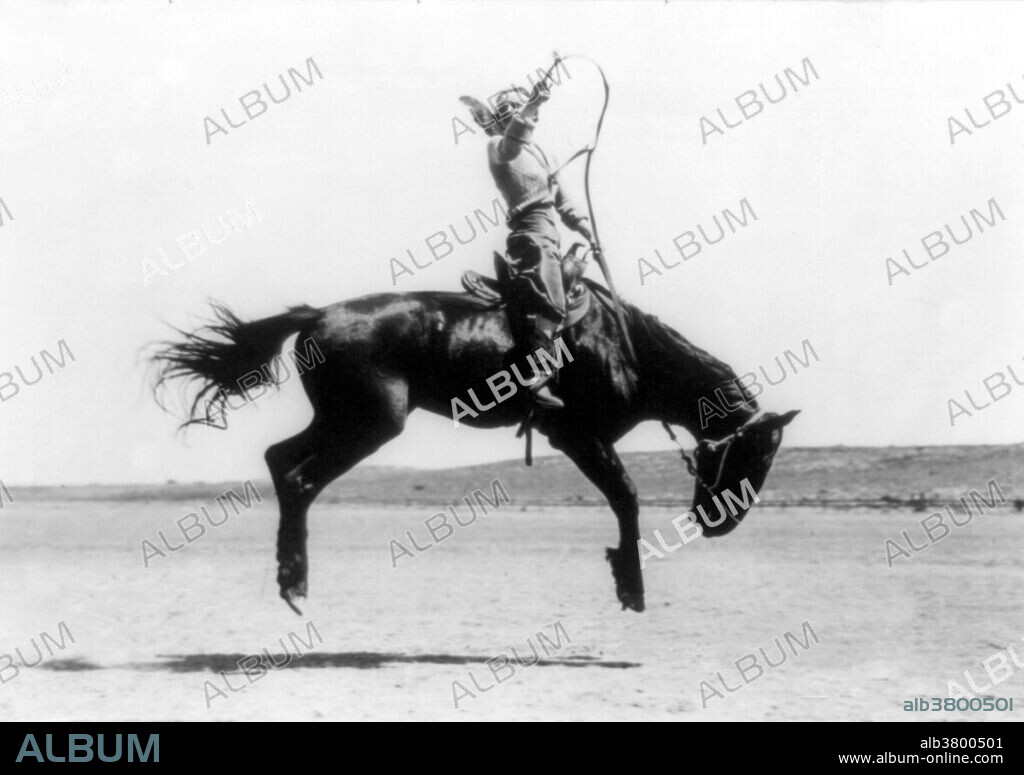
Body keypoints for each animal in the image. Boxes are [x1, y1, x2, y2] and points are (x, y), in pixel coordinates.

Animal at [148, 270, 794, 610]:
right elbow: (626, 498)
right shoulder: (578, 436)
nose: (723, 523)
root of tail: (317, 315)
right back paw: (296, 581)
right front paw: (630, 585)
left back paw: (290, 575)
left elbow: (624, 499)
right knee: (301, 477)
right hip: (368, 424)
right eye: (757, 451)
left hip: (340, 420)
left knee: (279, 460)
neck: (624, 345)